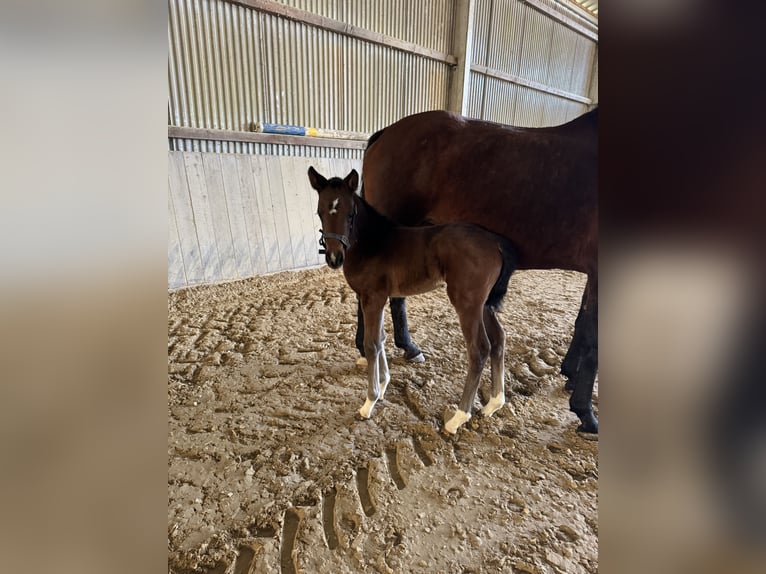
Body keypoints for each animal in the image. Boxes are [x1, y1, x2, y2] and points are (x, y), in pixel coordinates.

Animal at [308, 166, 520, 436]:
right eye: (320, 212)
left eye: (350, 213)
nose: (334, 258)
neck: (373, 242)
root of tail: (496, 243)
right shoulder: (378, 297)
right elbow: (381, 338)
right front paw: (384, 385)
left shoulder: (372, 297)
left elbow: (371, 344)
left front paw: (369, 402)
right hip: (483, 304)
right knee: (499, 339)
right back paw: (493, 403)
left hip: (467, 303)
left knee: (479, 349)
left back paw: (457, 418)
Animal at [360, 108, 600, 434]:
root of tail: (386, 133)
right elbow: (594, 337)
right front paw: (586, 413)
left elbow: (582, 323)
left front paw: (570, 376)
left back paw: (406, 348)